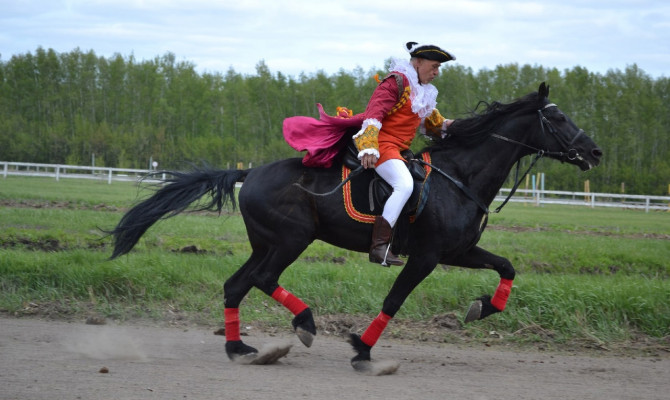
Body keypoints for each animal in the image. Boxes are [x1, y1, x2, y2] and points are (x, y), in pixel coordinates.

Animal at [110, 83, 604, 374]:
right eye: (559, 118)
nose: (595, 151)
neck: (459, 177)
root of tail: (249, 172)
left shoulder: (457, 252)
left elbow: (507, 267)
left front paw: (482, 307)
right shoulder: (425, 257)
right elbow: (393, 300)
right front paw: (363, 350)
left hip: (266, 242)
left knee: (236, 285)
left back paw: (241, 349)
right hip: (290, 240)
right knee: (263, 279)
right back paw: (304, 323)